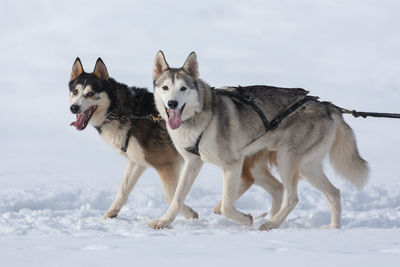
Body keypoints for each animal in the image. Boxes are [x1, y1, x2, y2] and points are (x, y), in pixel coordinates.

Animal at [67, 58, 282, 222]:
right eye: (75, 92)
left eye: (91, 93)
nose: (74, 108)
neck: (127, 112)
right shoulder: (137, 162)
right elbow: (123, 191)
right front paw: (110, 214)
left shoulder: (166, 165)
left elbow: (171, 194)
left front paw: (188, 213)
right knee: (274, 186)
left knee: (249, 180)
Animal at [150, 51, 368, 230]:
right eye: (165, 87)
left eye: (183, 88)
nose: (172, 103)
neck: (201, 118)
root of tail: (327, 106)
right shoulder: (192, 163)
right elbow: (176, 198)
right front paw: (164, 221)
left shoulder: (233, 164)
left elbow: (227, 206)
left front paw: (245, 219)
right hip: (306, 168)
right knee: (334, 193)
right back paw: (334, 228)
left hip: (287, 161)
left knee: (292, 198)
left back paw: (271, 224)